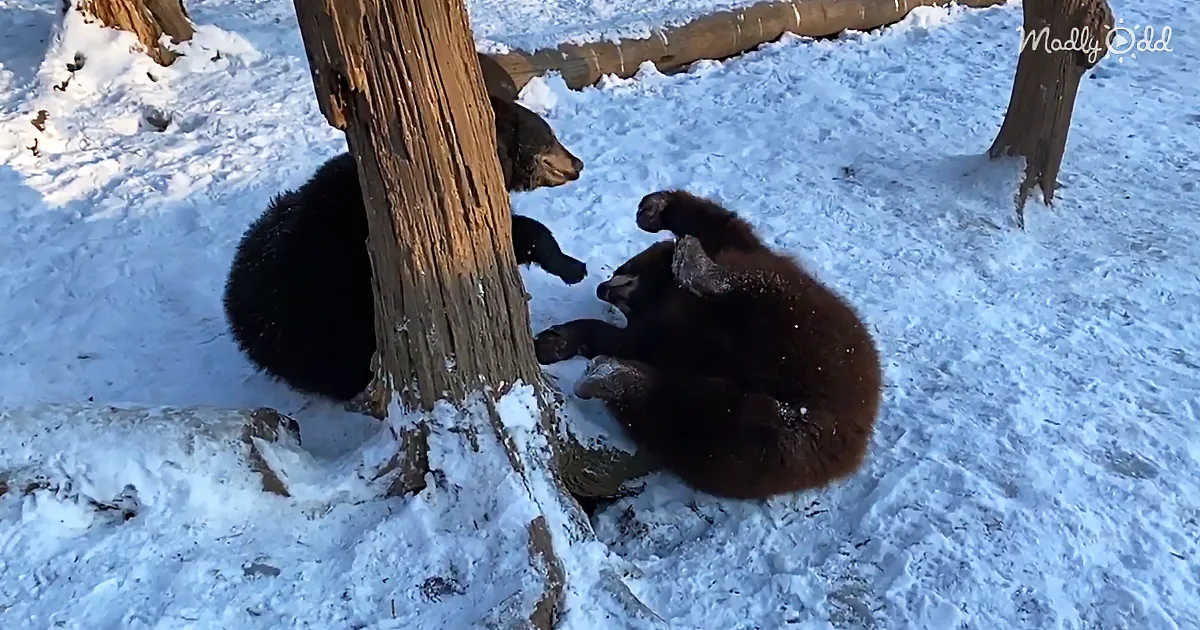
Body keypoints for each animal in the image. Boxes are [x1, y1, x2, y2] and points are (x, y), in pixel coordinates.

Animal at [532, 190, 882, 500]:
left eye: (623, 268)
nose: (602, 288)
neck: (663, 295)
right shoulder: (659, 337)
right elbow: (624, 340)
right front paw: (553, 341)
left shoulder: (736, 262)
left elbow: (726, 232)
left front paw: (656, 208)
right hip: (772, 447)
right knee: (697, 420)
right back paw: (609, 376)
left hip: (818, 332)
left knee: (761, 288)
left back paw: (697, 268)